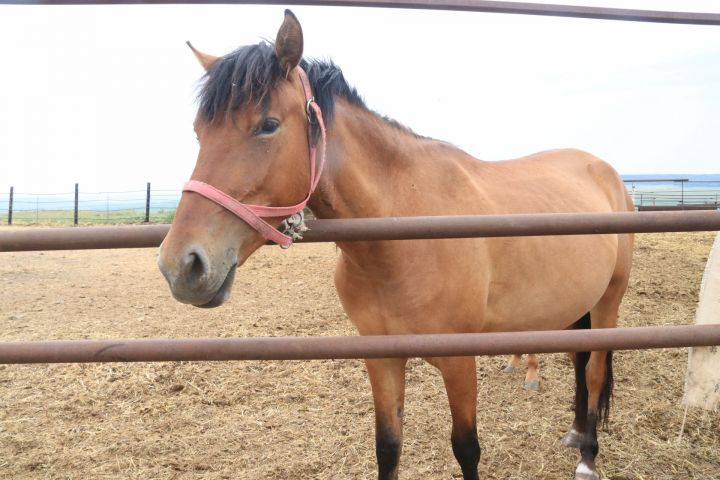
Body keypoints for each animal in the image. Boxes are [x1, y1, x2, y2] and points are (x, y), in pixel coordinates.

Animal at [156, 10, 632, 480]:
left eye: (268, 125)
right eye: (199, 133)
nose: (181, 266)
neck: (403, 238)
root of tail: (605, 171)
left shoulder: (460, 361)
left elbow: (466, 448)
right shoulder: (381, 357)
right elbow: (388, 446)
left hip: (608, 301)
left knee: (594, 371)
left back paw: (588, 456)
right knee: (580, 360)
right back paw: (576, 433)